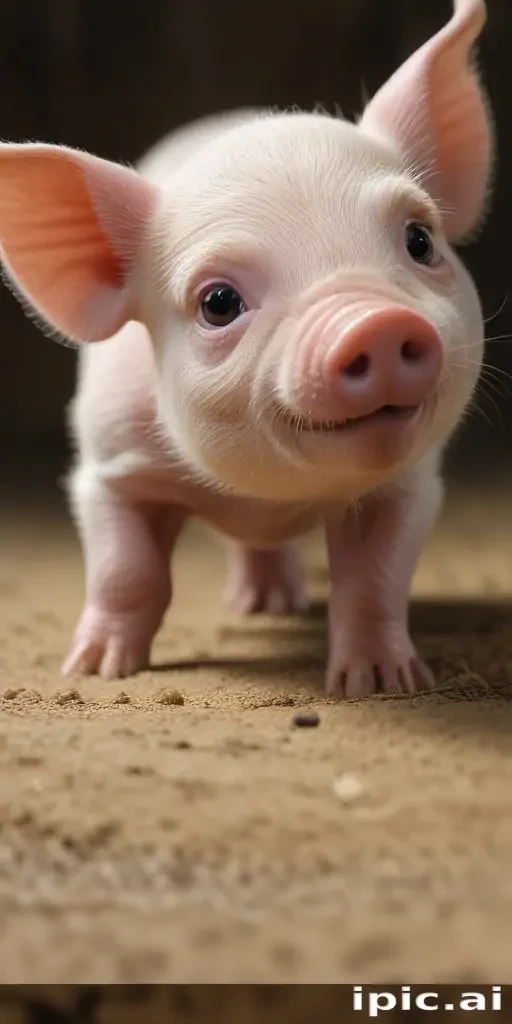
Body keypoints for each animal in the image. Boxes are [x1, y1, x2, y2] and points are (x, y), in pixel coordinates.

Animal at [0, 0, 492, 696]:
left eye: (420, 240)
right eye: (218, 303)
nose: (375, 322)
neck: (266, 499)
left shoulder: (409, 486)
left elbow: (373, 582)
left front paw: (382, 684)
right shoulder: (108, 468)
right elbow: (127, 572)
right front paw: (98, 669)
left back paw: (273, 608)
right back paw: (253, 611)